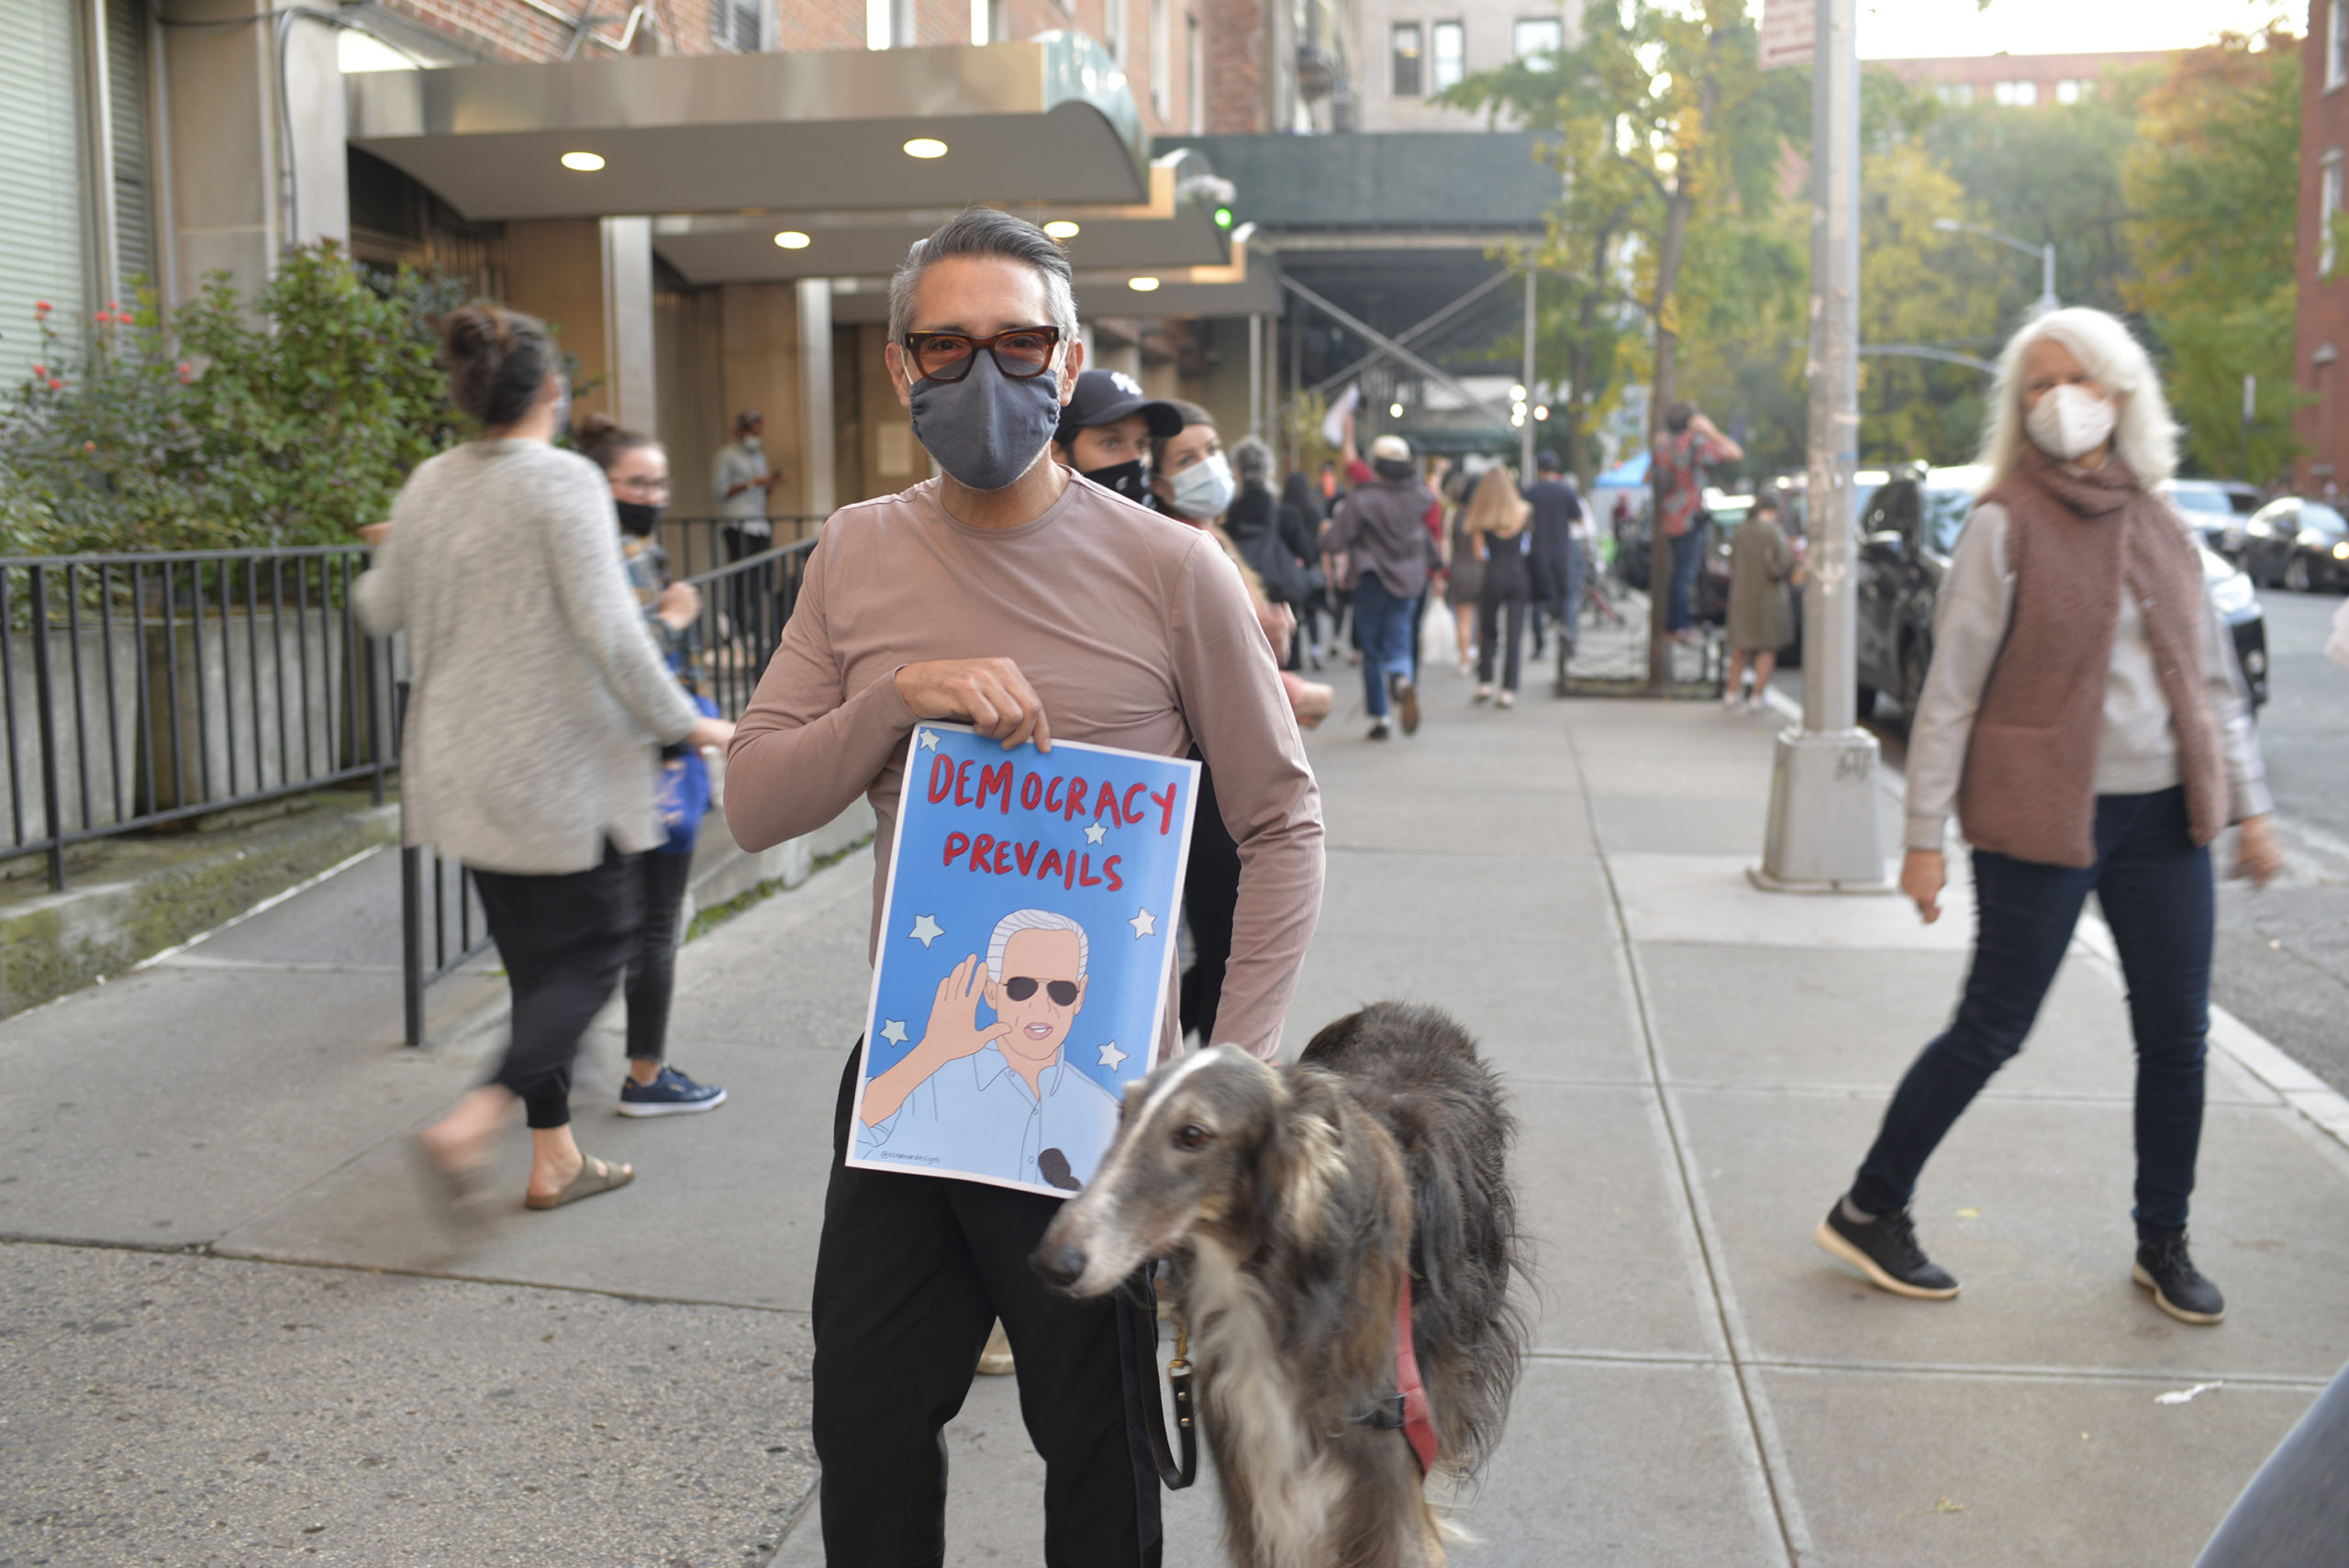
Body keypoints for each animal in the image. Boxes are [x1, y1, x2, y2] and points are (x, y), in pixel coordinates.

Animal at [1029, 1004, 1521, 1568]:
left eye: (1193, 1134)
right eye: (1123, 1113)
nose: (1051, 1263)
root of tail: (1408, 1008)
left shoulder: (1381, 1486)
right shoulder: (1253, 1469)